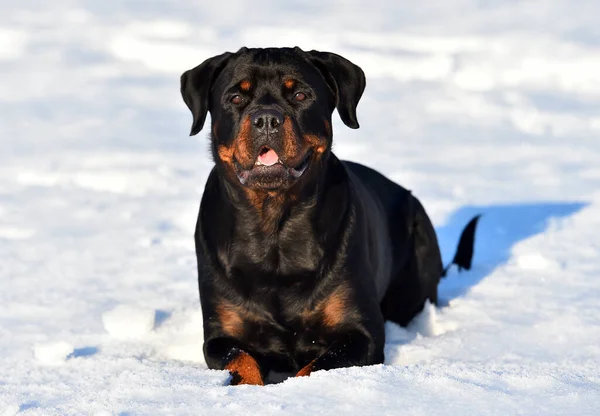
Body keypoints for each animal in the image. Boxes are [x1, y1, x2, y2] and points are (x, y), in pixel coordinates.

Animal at [179, 47, 478, 386]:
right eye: (236, 97)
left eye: (300, 94)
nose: (266, 118)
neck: (274, 230)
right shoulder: (221, 335)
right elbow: (241, 360)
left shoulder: (360, 334)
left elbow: (315, 367)